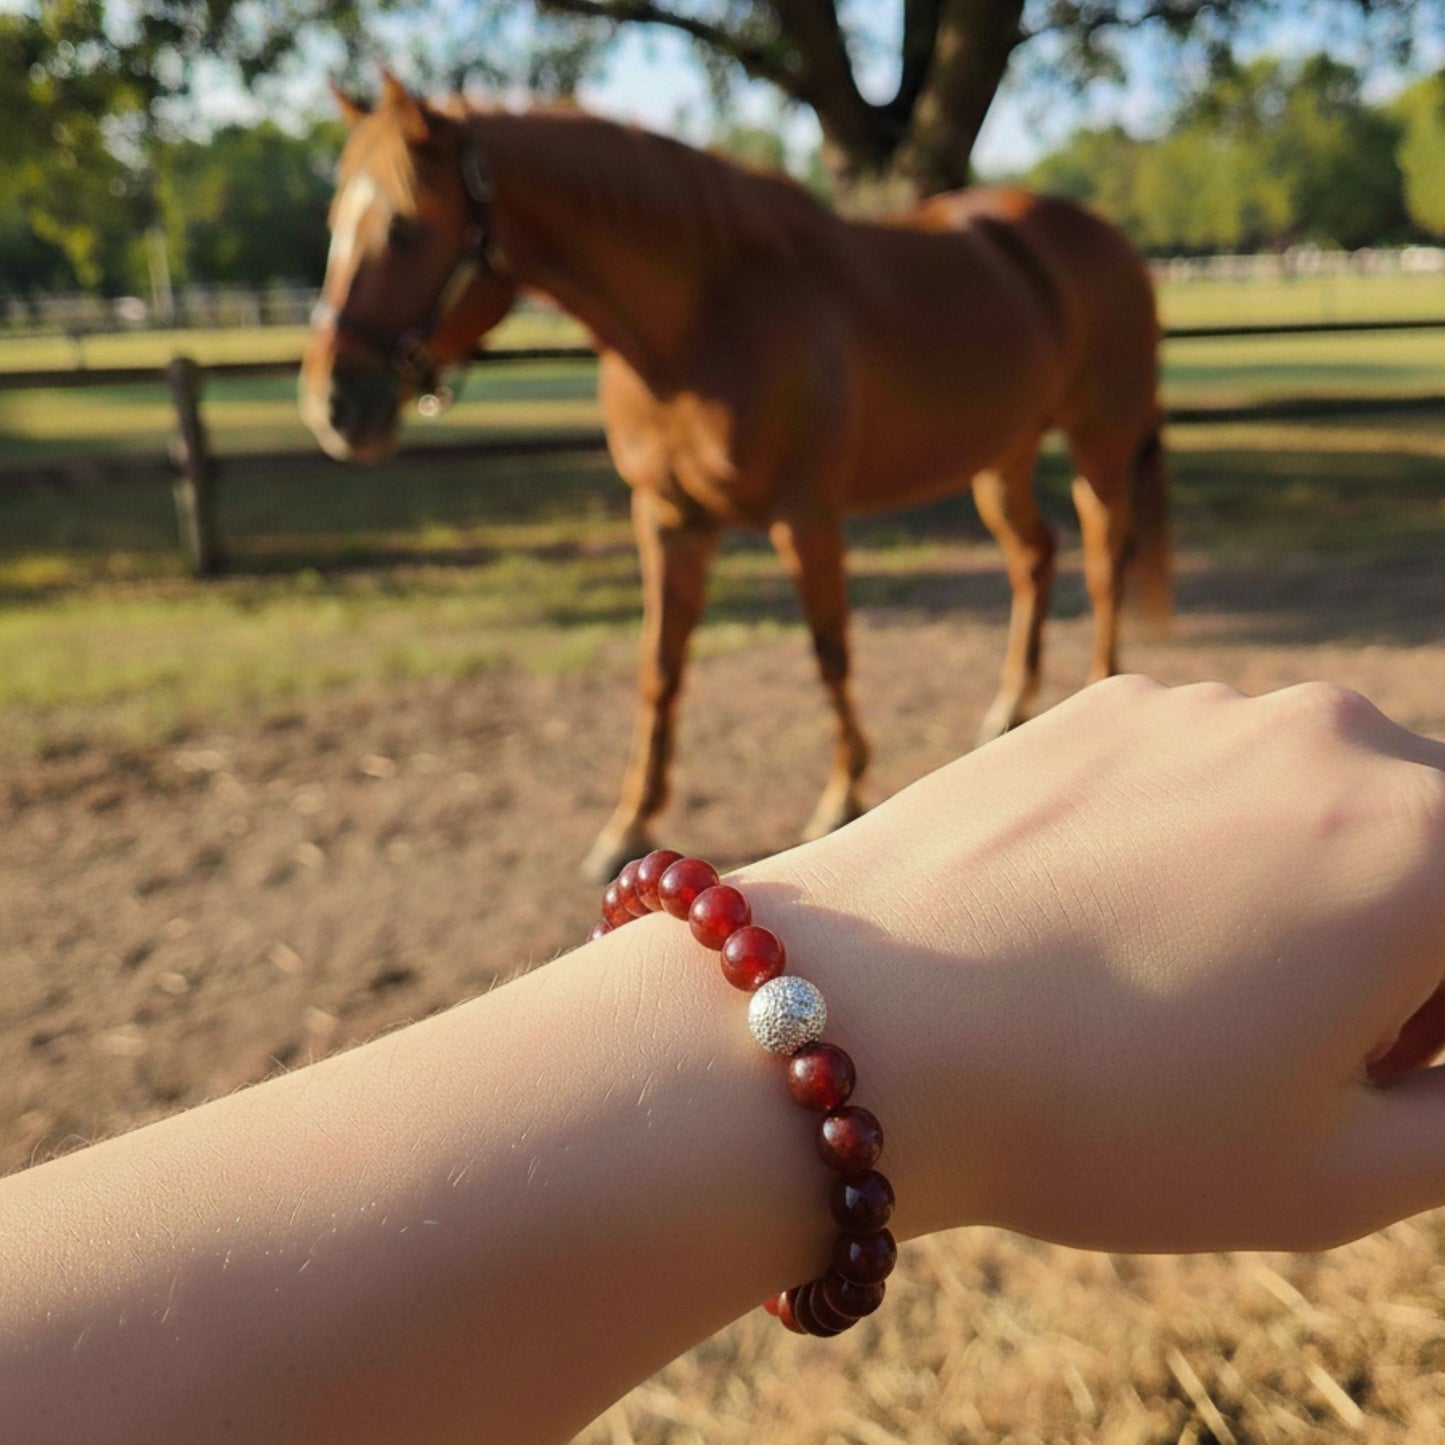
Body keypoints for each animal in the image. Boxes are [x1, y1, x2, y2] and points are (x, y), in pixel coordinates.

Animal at [301, 73, 1170, 882]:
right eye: (333, 223)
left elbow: (830, 652)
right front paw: (627, 822)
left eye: (403, 226)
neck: (701, 320)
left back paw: (1097, 690)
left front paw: (841, 794)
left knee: (1102, 562)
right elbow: (659, 665)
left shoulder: (805, 518)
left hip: (1097, 447)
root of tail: (1108, 241)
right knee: (1034, 556)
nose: (331, 406)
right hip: (1000, 460)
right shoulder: (666, 516)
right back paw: (1009, 709)